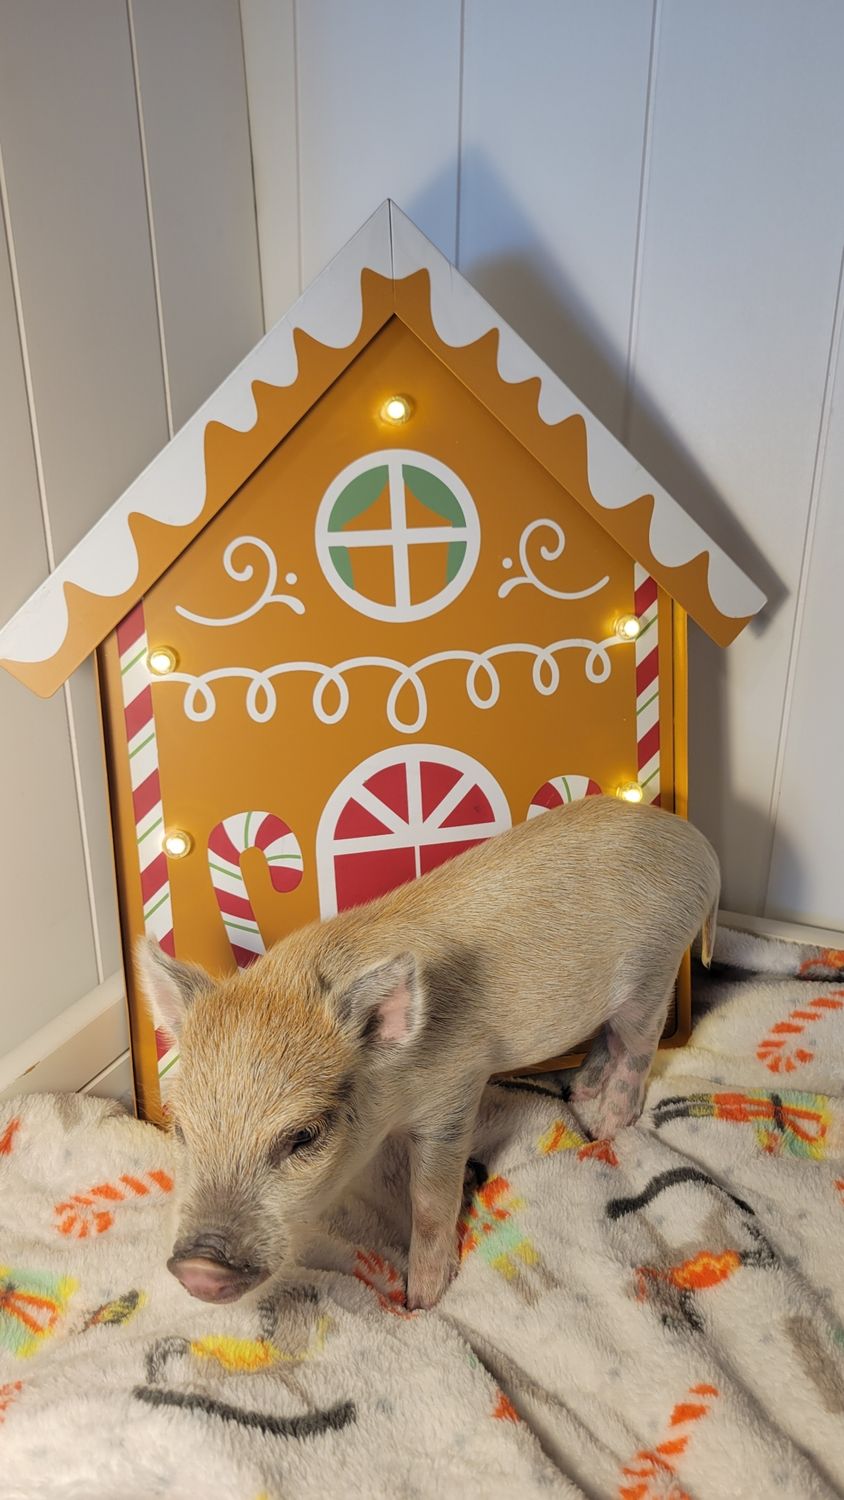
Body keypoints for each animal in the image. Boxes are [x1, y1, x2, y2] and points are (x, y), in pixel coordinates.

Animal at [137, 795, 719, 1312]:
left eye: (304, 1135)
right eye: (181, 1127)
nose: (199, 1266)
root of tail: (698, 846)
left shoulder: (455, 1090)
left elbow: (430, 1198)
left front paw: (420, 1301)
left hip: (657, 968)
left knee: (639, 1045)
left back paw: (603, 1127)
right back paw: (577, 1093)